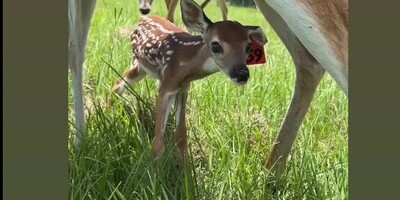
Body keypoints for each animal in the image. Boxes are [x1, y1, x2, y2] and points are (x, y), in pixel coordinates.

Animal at [111, 0, 266, 158]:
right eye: (216, 45)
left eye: (248, 47)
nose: (242, 74)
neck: (186, 62)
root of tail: (142, 20)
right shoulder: (167, 86)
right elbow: (158, 144)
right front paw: (152, 164)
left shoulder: (183, 88)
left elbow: (181, 137)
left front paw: (184, 163)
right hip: (138, 65)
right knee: (117, 86)